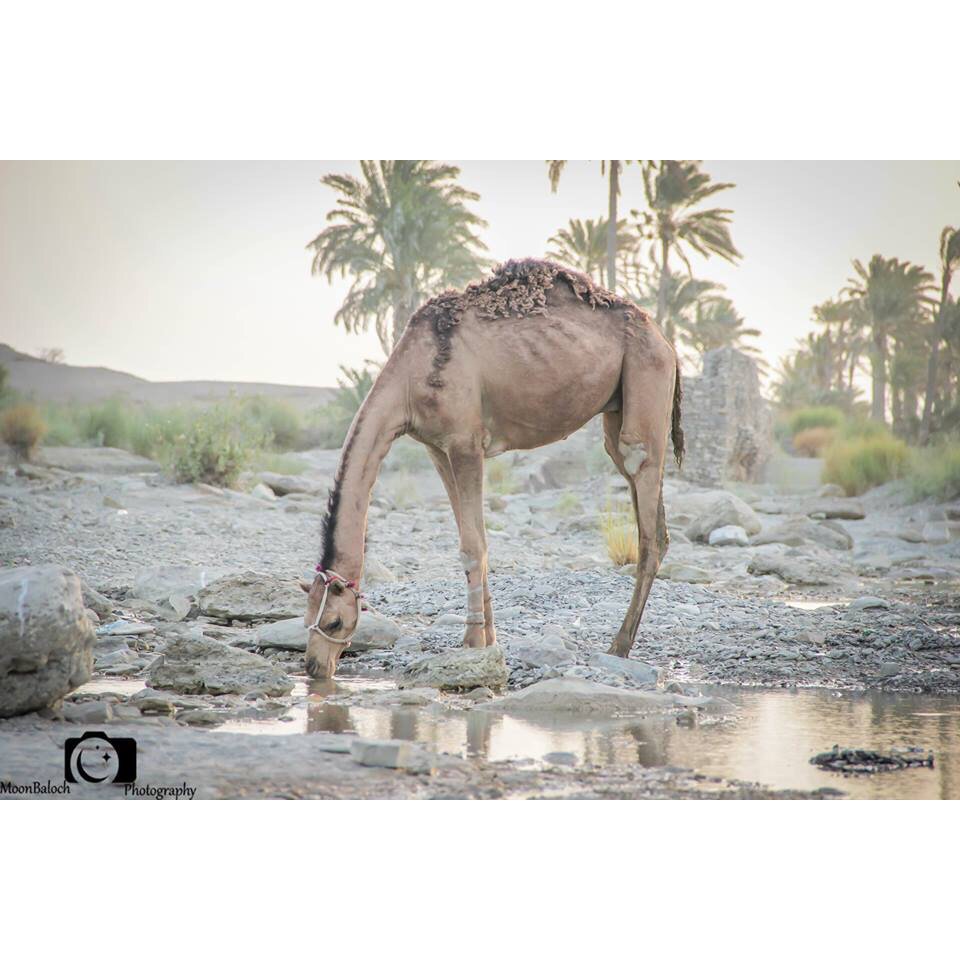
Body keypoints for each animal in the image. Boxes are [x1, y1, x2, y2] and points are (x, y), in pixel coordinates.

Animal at [301, 258, 683, 679]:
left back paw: (619, 646)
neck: (410, 380)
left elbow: (472, 547)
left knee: (647, 515)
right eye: (305, 620)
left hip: (646, 379)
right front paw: (489, 640)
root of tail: (667, 342)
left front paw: (470, 642)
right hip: (617, 412)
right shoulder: (437, 448)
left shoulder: (466, 444)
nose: (314, 667)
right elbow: (475, 540)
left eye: (335, 621)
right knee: (648, 508)